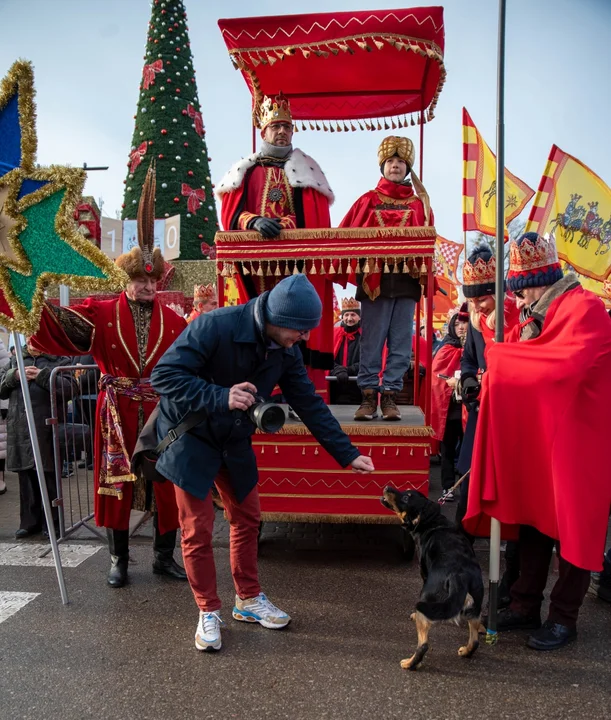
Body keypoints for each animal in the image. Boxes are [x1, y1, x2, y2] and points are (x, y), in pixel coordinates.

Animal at [382, 486, 482, 672]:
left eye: (406, 497)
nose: (387, 487)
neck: (432, 522)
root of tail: (459, 576)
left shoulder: (424, 574)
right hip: (475, 607)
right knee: (475, 641)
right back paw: (466, 651)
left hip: (425, 601)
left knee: (423, 645)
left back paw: (409, 663)